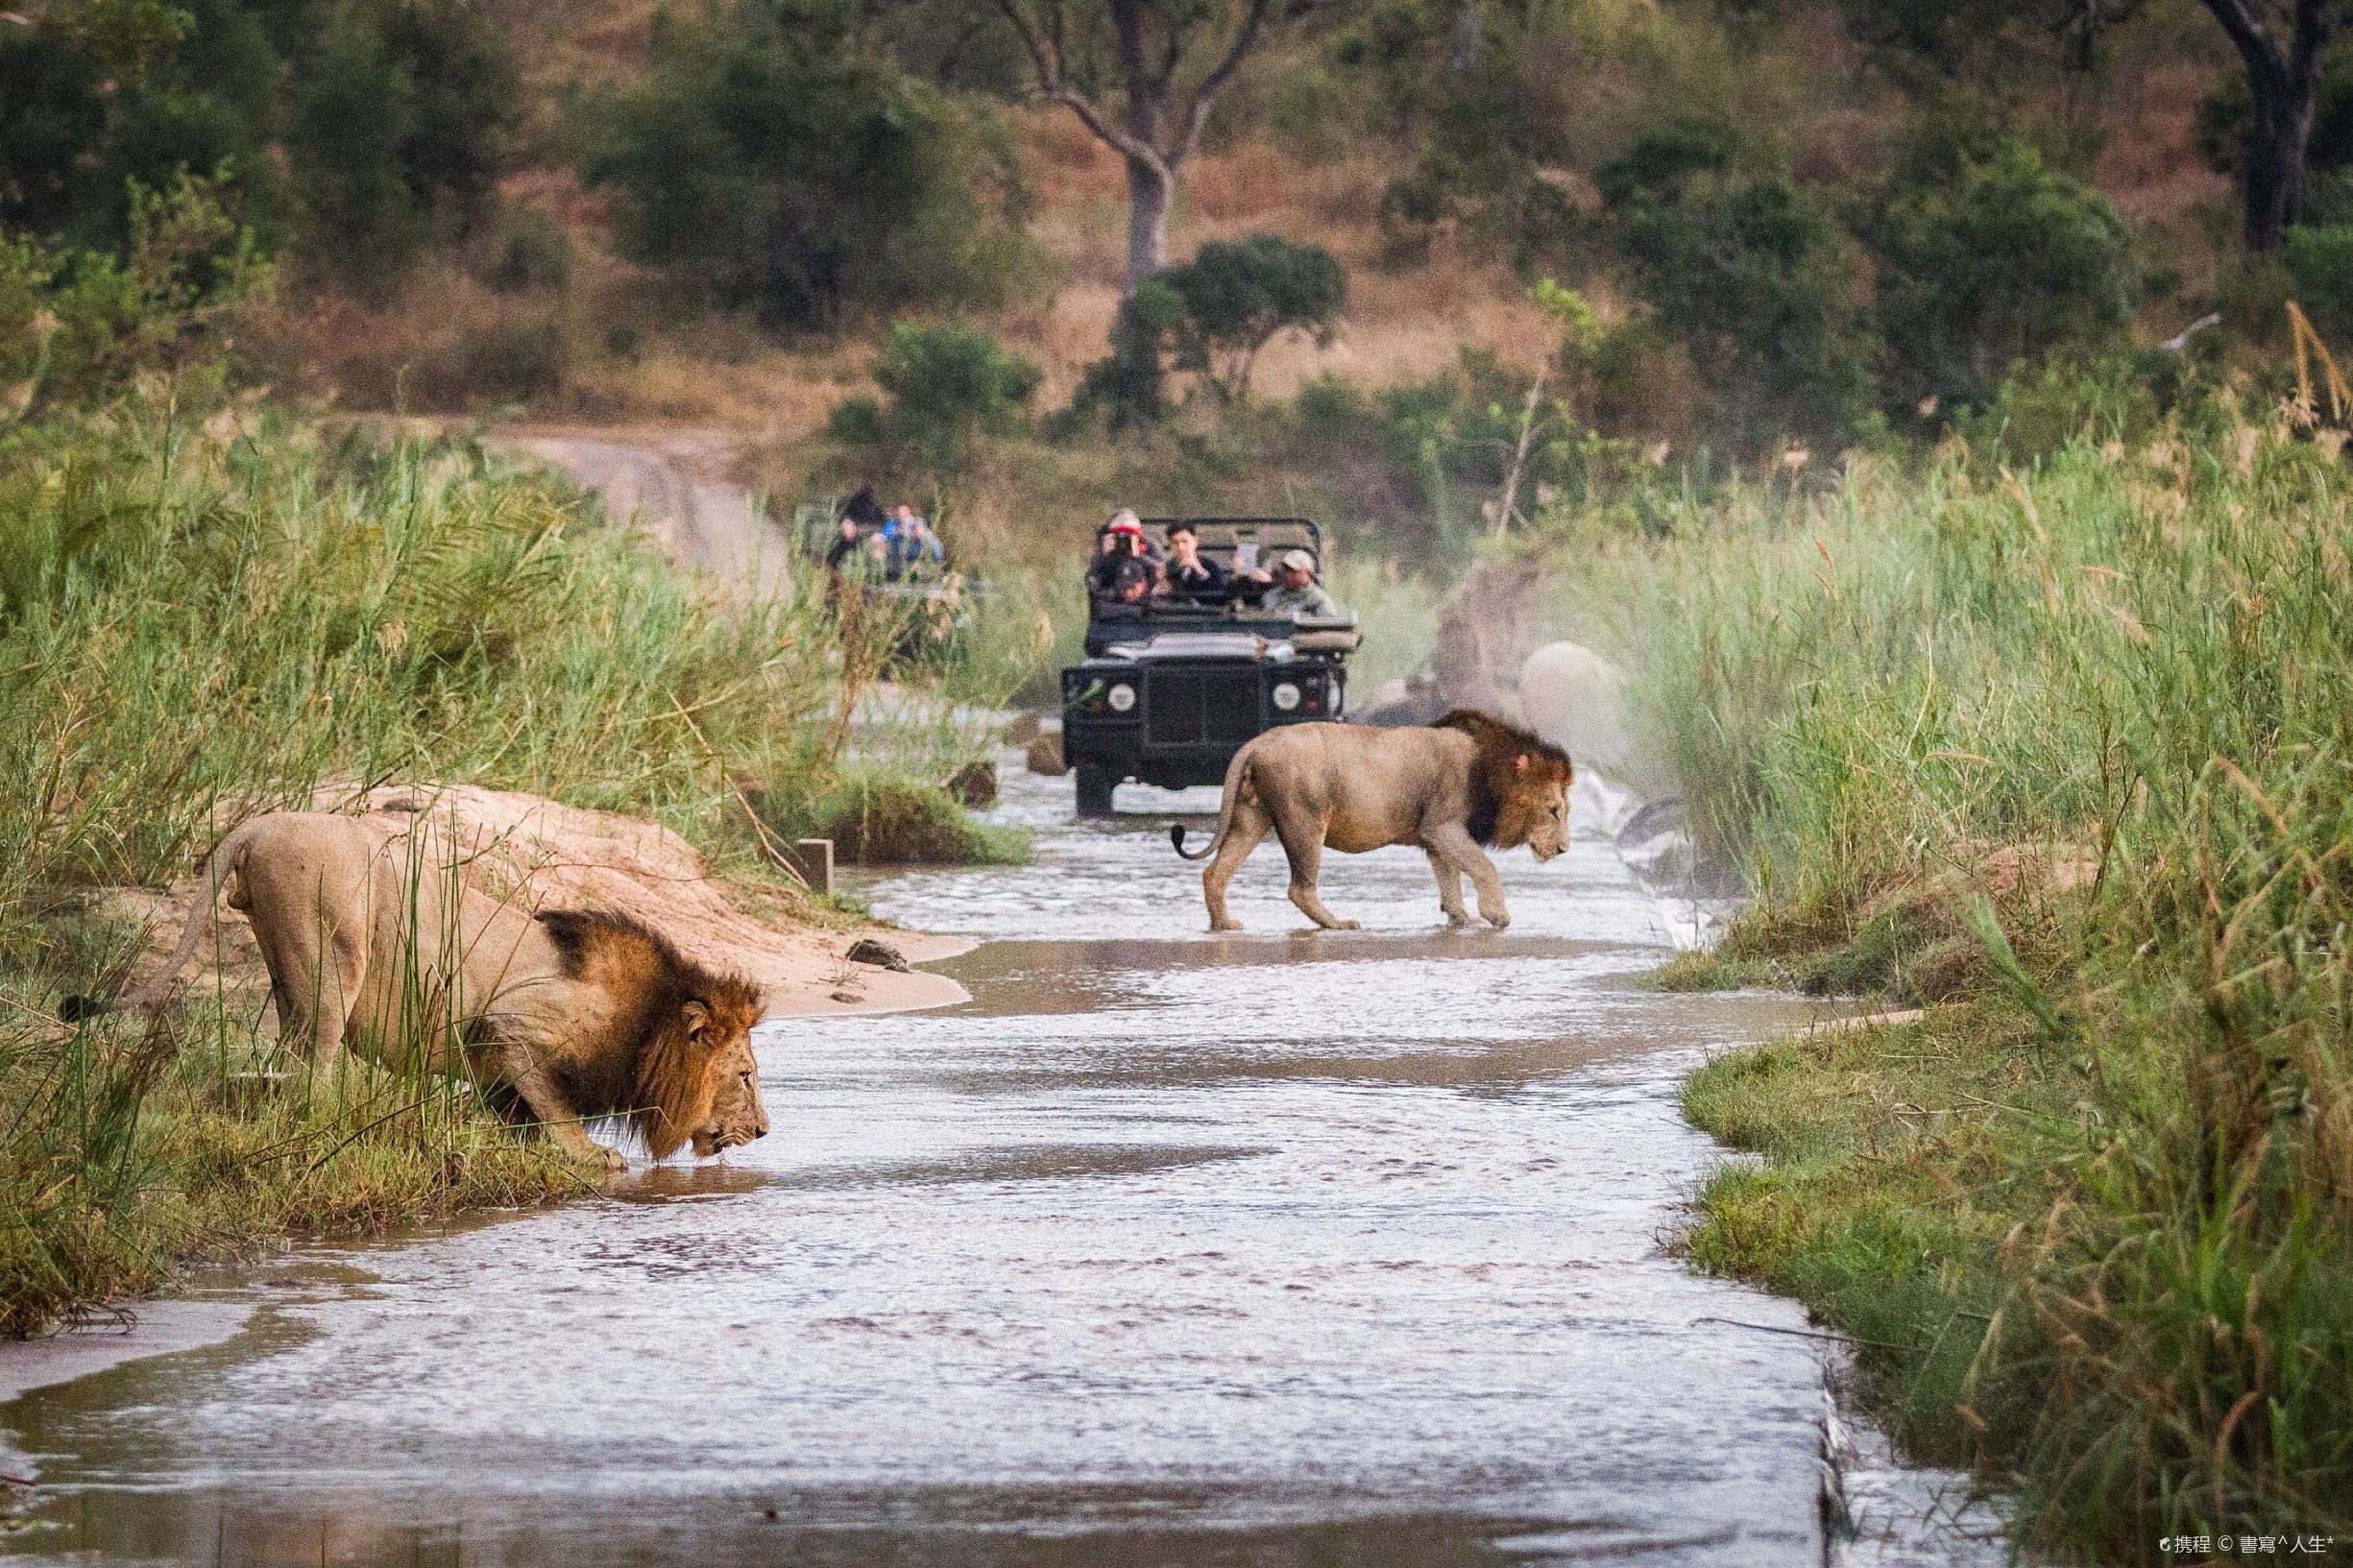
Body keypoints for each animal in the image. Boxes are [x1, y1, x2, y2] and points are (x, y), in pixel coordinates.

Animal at [78, 808, 762, 1166]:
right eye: (747, 1076)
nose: (763, 1133)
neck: (646, 1022)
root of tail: (259, 826)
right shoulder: (513, 1023)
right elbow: (558, 1109)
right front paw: (593, 1158)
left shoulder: (500, 1065)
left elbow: (512, 1109)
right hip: (334, 960)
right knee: (313, 1069)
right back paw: (330, 1127)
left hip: (291, 974)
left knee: (283, 1061)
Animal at [1167, 710, 1571, 930]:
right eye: (1554, 810)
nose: (1565, 849)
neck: (1491, 769)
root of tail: (1257, 742)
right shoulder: (1443, 824)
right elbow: (1484, 867)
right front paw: (1497, 915)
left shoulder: (1436, 836)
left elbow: (1450, 878)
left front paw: (1461, 918)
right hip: (1306, 819)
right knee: (1299, 887)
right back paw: (1338, 924)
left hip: (1251, 817)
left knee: (1215, 872)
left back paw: (1223, 924)